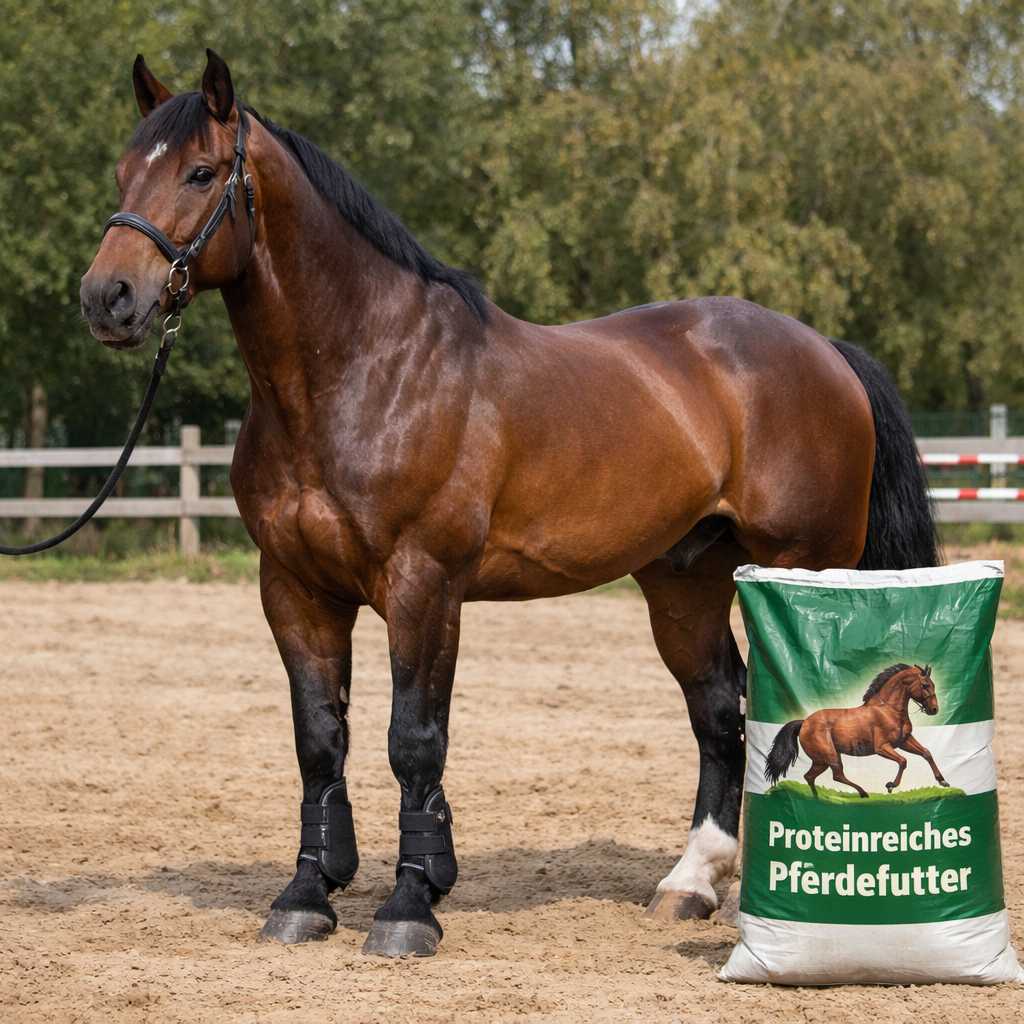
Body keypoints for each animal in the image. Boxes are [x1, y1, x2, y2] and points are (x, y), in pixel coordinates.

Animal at [764, 663, 948, 798]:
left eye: (933, 685)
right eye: (925, 685)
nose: (934, 709)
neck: (889, 709)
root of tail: (804, 723)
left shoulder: (904, 741)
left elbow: (926, 753)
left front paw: (943, 781)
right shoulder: (882, 747)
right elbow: (903, 761)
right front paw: (890, 786)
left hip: (823, 759)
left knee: (812, 776)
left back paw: (820, 798)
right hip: (828, 757)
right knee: (834, 775)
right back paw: (862, 793)